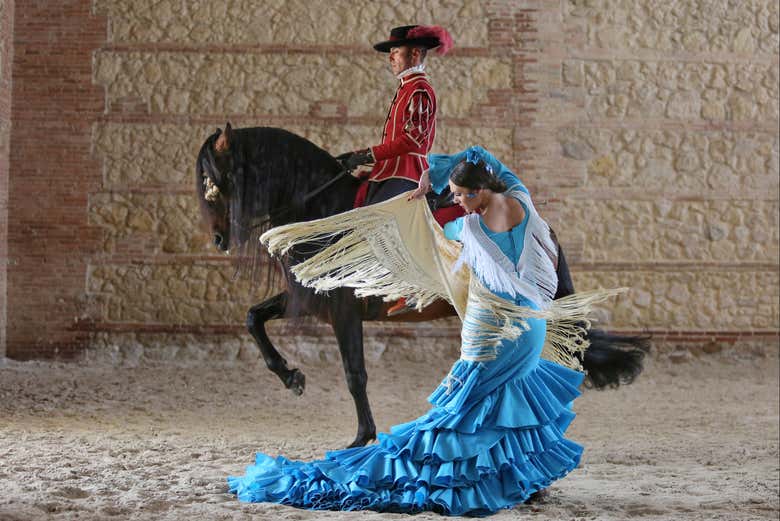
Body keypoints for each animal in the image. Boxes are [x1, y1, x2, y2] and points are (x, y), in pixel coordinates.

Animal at [198, 125, 648, 446]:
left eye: (214, 183)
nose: (218, 239)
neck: (323, 206)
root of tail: (542, 229)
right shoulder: (310, 298)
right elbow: (253, 318)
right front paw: (291, 377)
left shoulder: (343, 309)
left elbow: (354, 372)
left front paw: (362, 438)